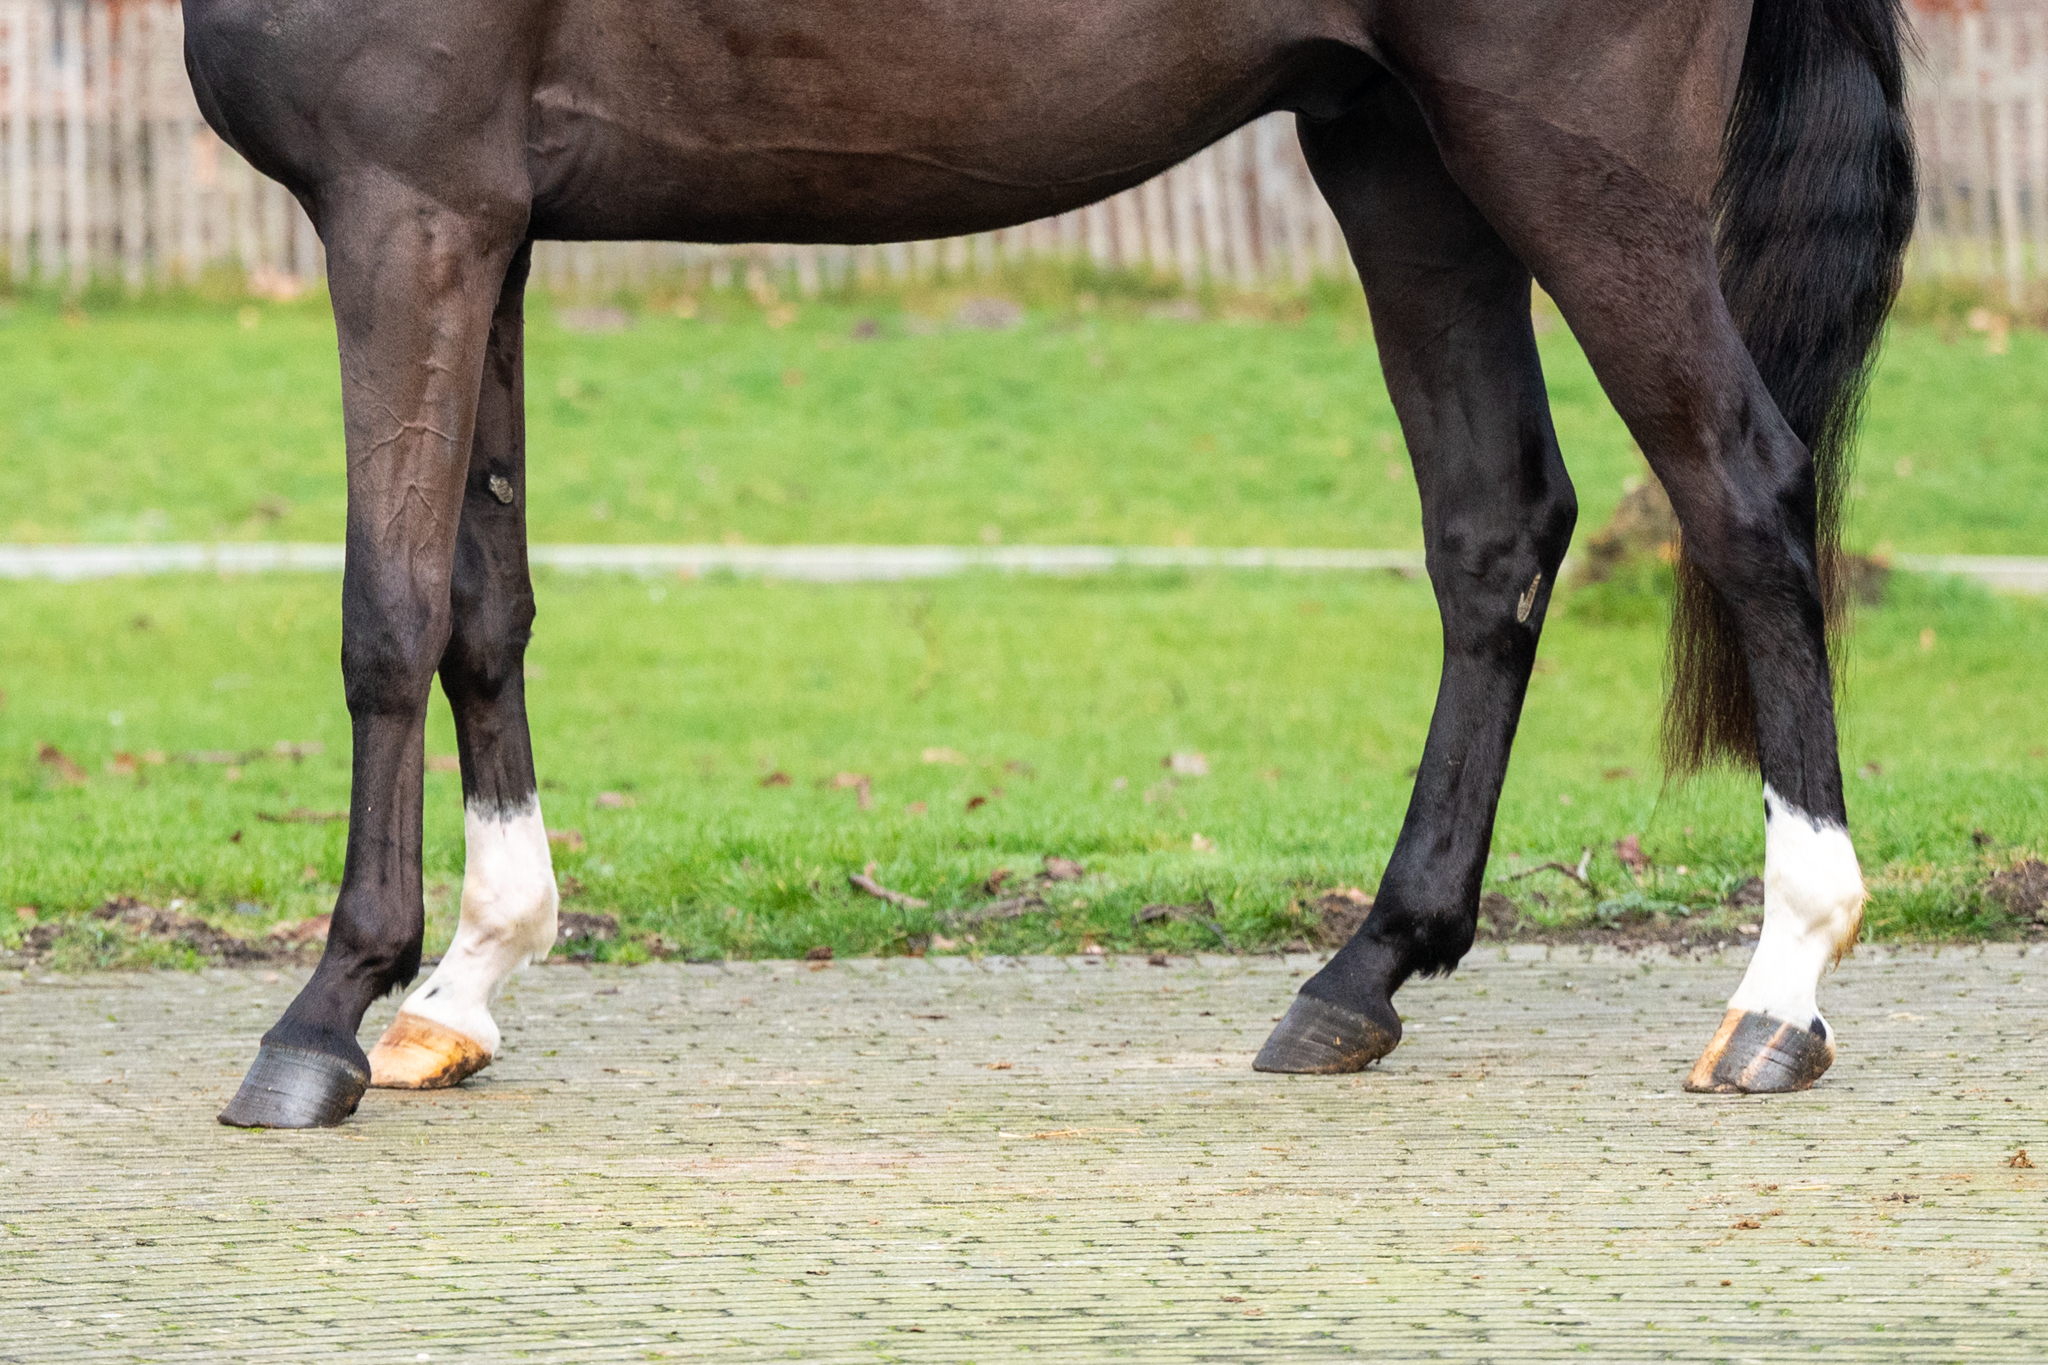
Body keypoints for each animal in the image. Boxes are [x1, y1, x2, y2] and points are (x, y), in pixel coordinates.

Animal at [189, 0, 1915, 1128]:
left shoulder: (408, 205)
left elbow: (387, 613)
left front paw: (327, 1017)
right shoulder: (487, 221)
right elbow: (483, 606)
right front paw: (459, 994)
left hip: (1567, 159)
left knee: (1742, 494)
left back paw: (1780, 994)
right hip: (1398, 150)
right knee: (1495, 528)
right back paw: (1359, 978)